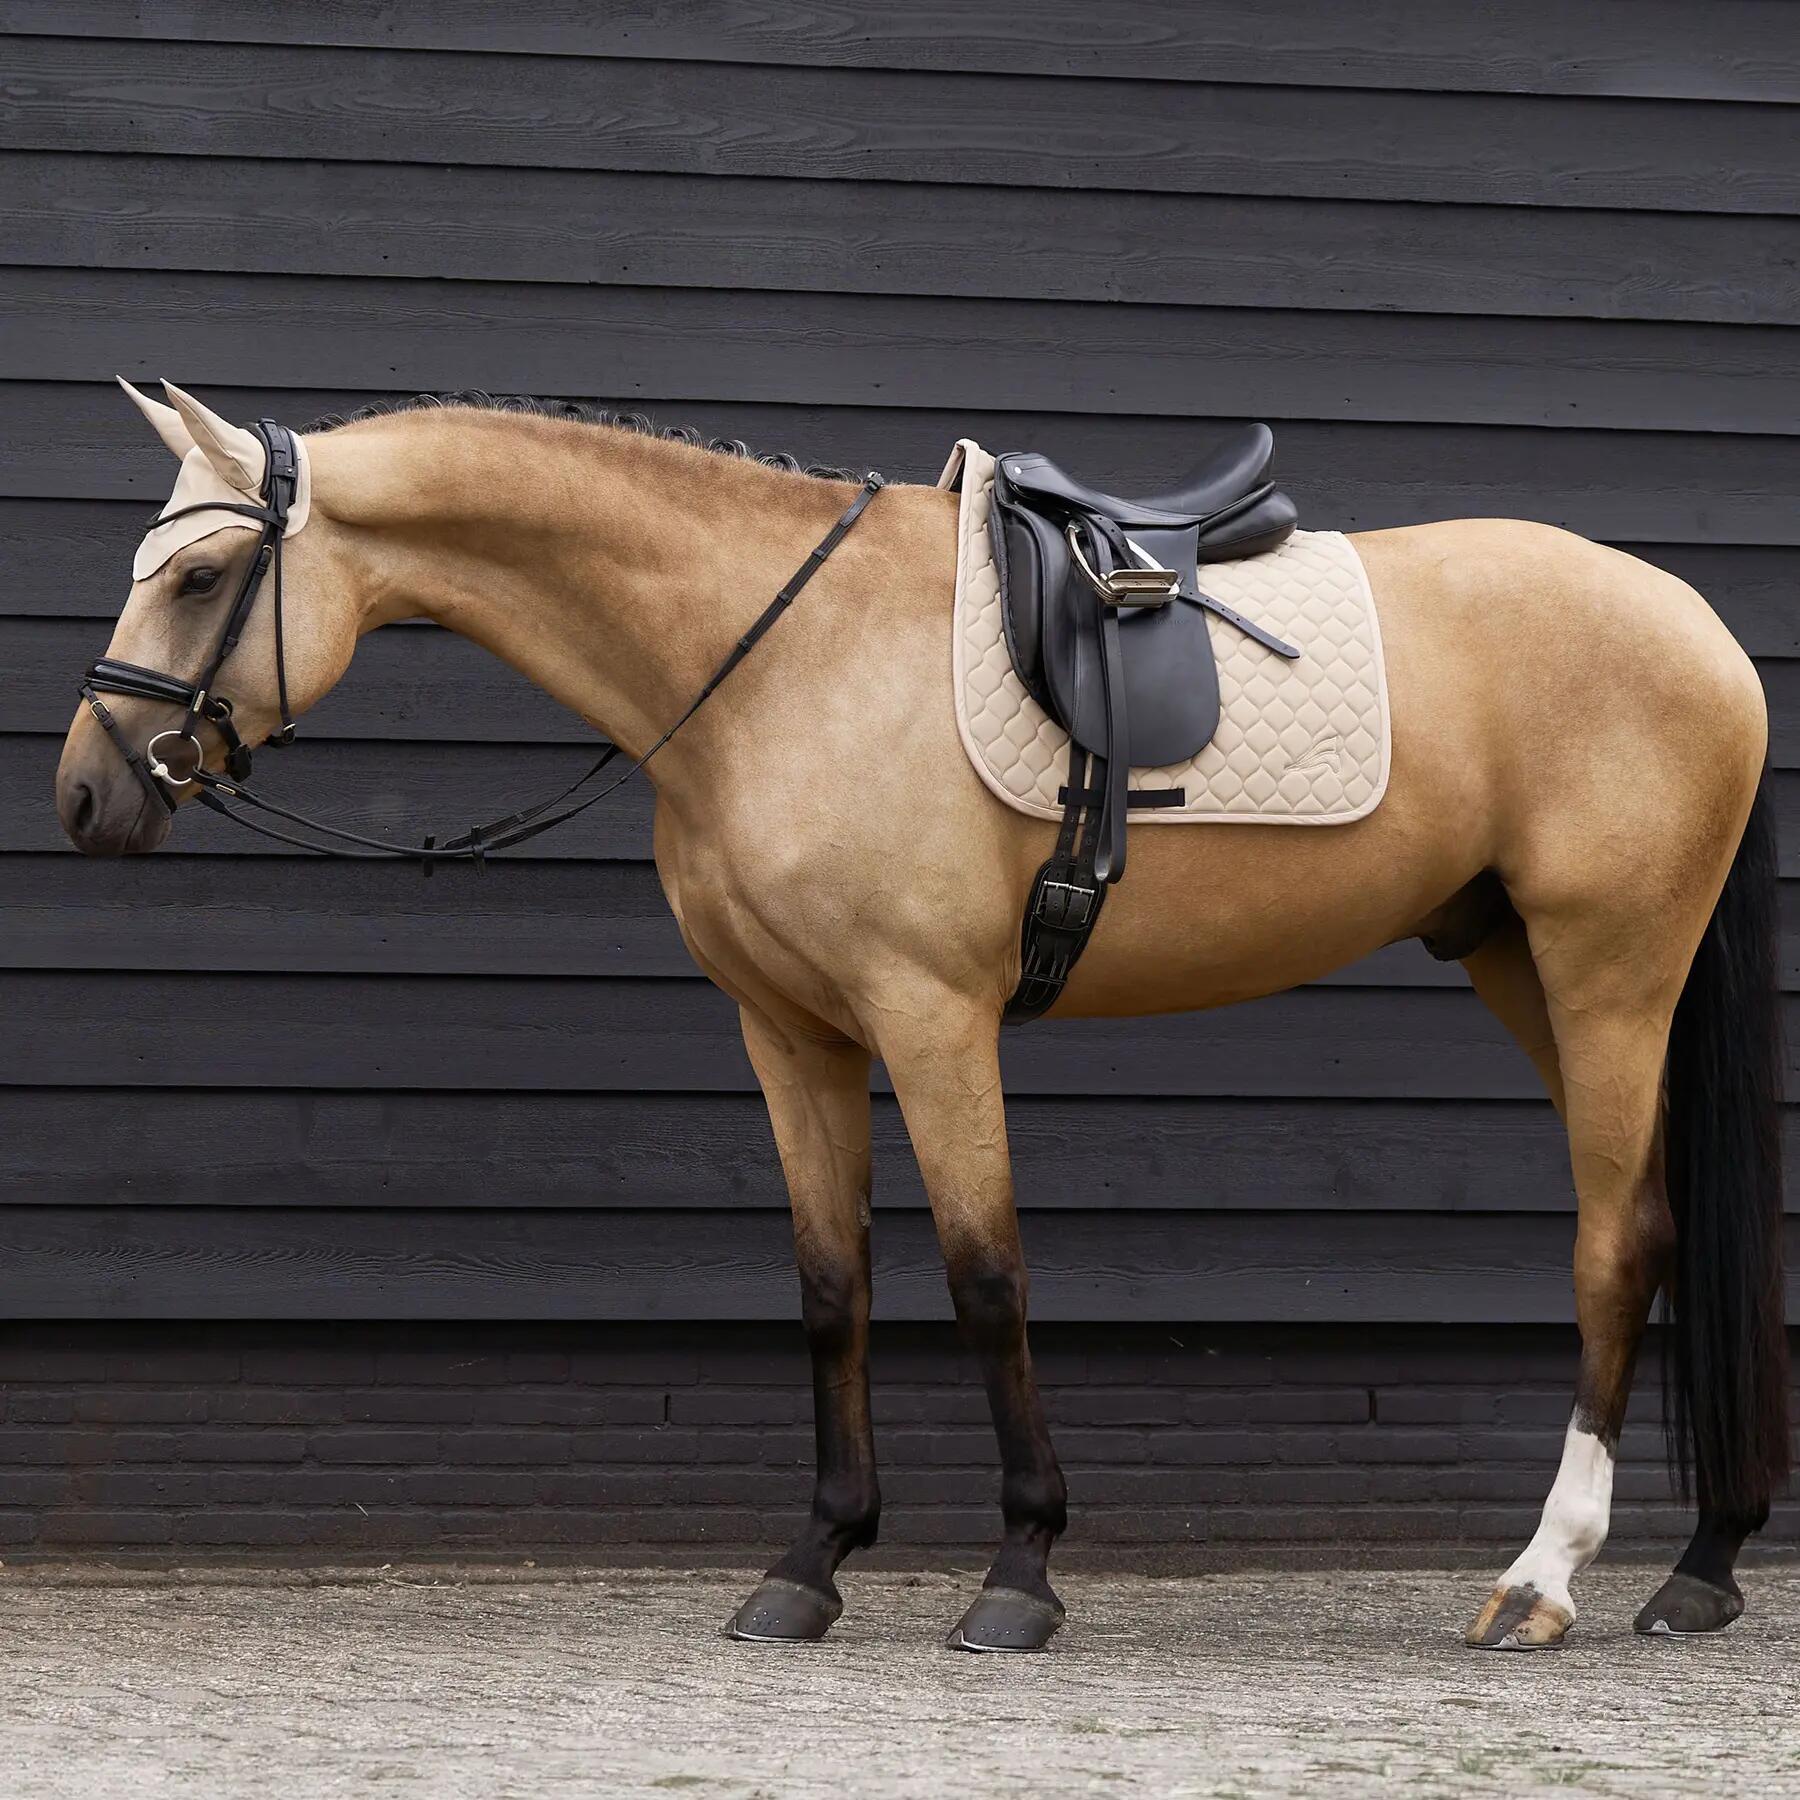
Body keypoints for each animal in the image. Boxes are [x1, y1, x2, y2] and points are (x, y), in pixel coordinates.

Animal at [56, 379, 1788, 1654]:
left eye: (199, 575)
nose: (85, 795)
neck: (771, 656)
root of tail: (1697, 627)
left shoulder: (933, 1017)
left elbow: (982, 1277)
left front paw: (1018, 1576)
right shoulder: (791, 1031)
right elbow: (835, 1287)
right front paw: (810, 1565)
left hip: (1607, 968)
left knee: (1614, 1246)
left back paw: (1545, 1582)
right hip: (1521, 966)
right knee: (1668, 1227)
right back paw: (1699, 1567)